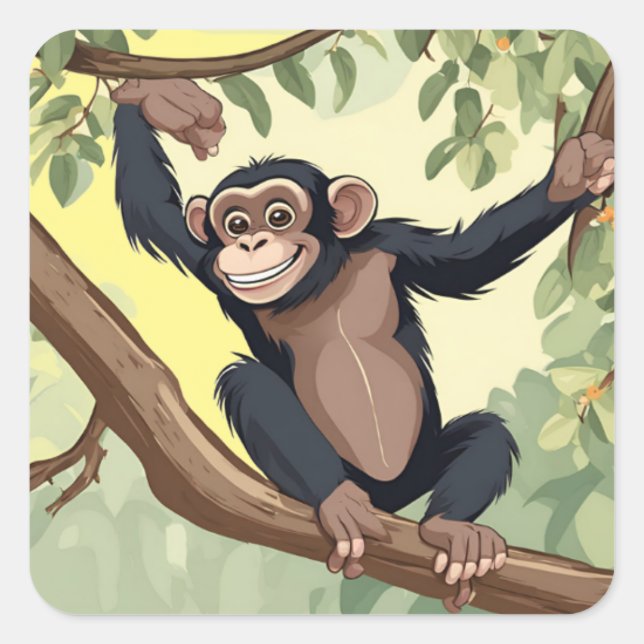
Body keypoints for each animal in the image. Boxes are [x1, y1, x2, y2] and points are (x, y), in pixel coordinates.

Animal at [110, 78, 614, 610]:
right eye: (236, 225)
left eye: (278, 215)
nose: (250, 244)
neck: (318, 283)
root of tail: (388, 499)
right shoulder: (208, 261)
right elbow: (153, 213)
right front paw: (153, 99)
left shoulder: (395, 245)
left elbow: (469, 258)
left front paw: (572, 178)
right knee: (249, 383)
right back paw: (339, 501)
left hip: (421, 466)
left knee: (485, 433)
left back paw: (448, 527)